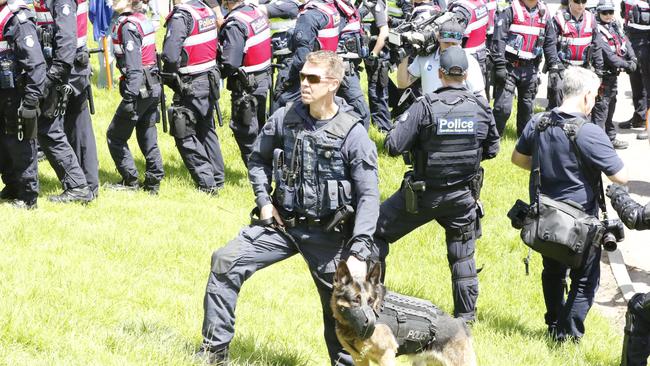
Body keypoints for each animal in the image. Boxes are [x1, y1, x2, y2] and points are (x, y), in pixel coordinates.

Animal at [330, 260, 476, 366]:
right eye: (356, 300)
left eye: (371, 301)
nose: (369, 323)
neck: (350, 327)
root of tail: (460, 323)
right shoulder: (359, 358)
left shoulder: (386, 356)